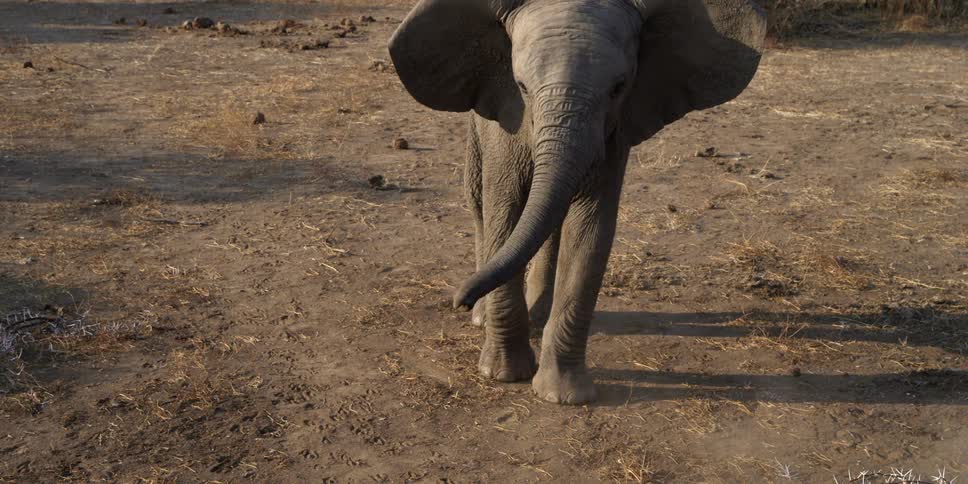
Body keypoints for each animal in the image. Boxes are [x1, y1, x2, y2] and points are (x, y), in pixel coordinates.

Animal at [388, 0, 766, 404]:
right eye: (521, 86)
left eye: (619, 88)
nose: (459, 300)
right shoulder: (507, 118)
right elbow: (504, 212)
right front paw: (503, 375)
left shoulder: (615, 132)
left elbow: (590, 229)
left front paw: (563, 396)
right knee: (478, 202)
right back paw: (484, 318)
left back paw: (533, 316)